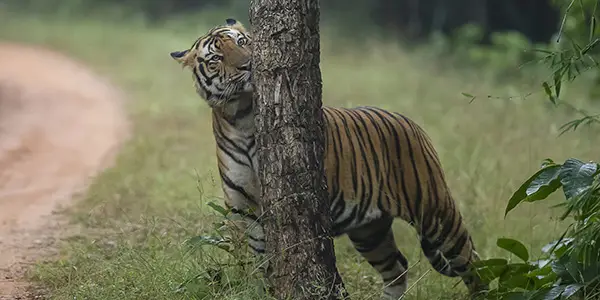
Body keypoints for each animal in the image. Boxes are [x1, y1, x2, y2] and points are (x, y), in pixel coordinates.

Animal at [169, 18, 488, 298]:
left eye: (243, 42)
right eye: (216, 58)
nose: (249, 65)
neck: (242, 116)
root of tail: (410, 122)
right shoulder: (243, 210)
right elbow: (258, 263)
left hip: (436, 214)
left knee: (473, 262)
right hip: (370, 231)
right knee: (397, 267)